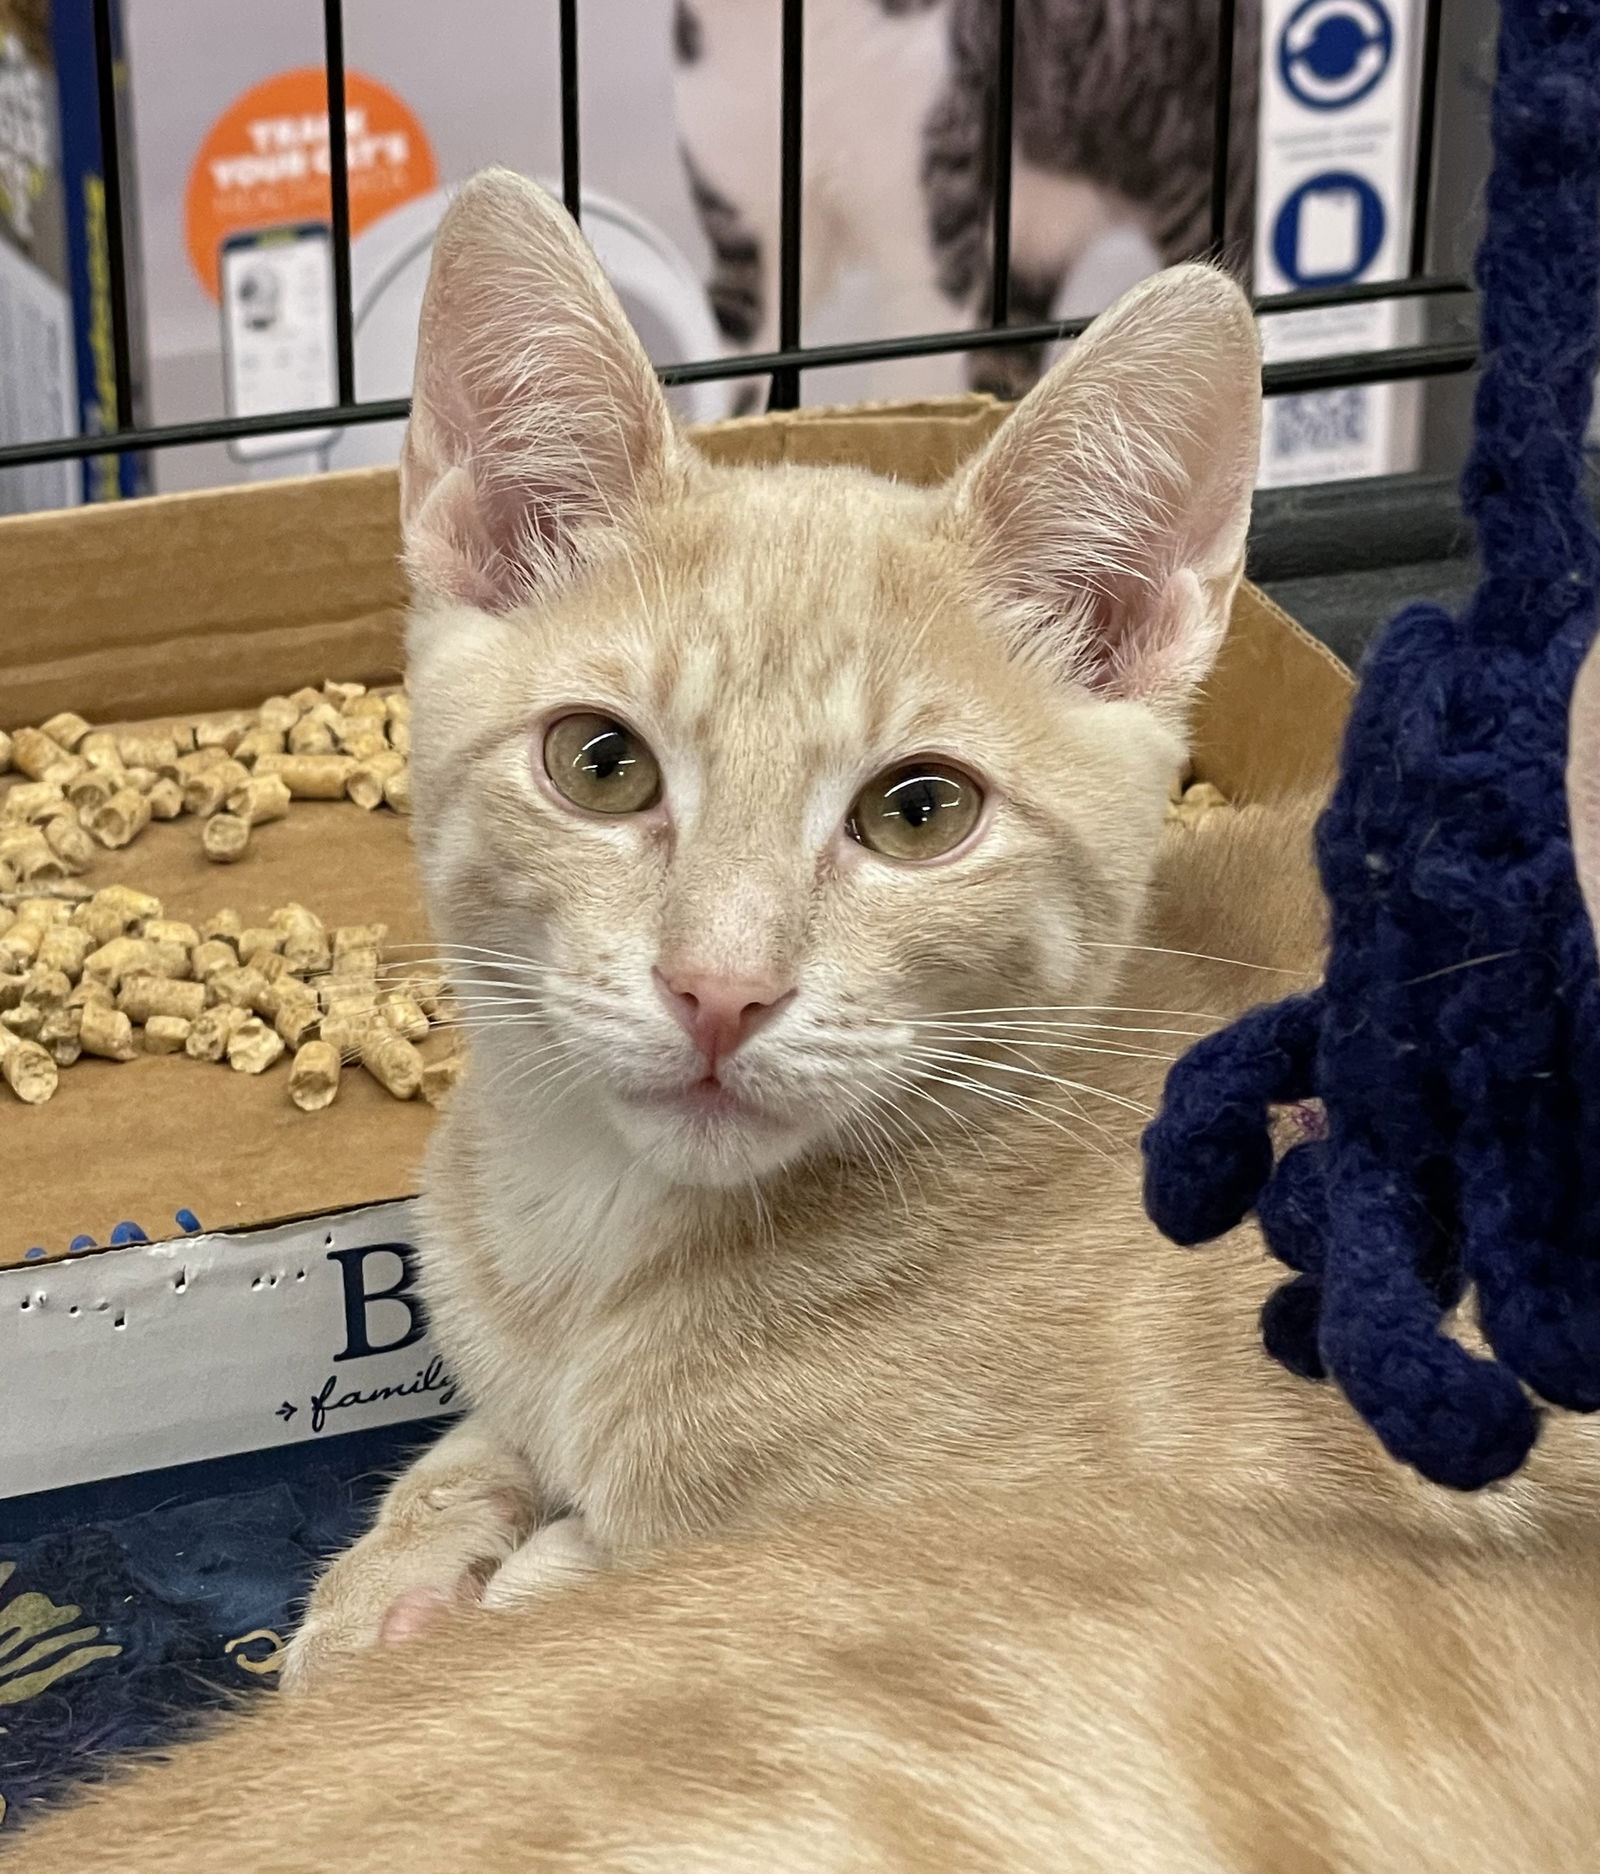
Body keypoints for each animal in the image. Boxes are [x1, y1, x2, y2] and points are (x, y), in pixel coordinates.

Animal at [15, 168, 1600, 1866]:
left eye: (920, 812)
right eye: (600, 765)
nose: (720, 986)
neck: (599, 1257)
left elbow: (664, 1564)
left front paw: (510, 1589)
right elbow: (483, 1450)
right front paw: (402, 1569)